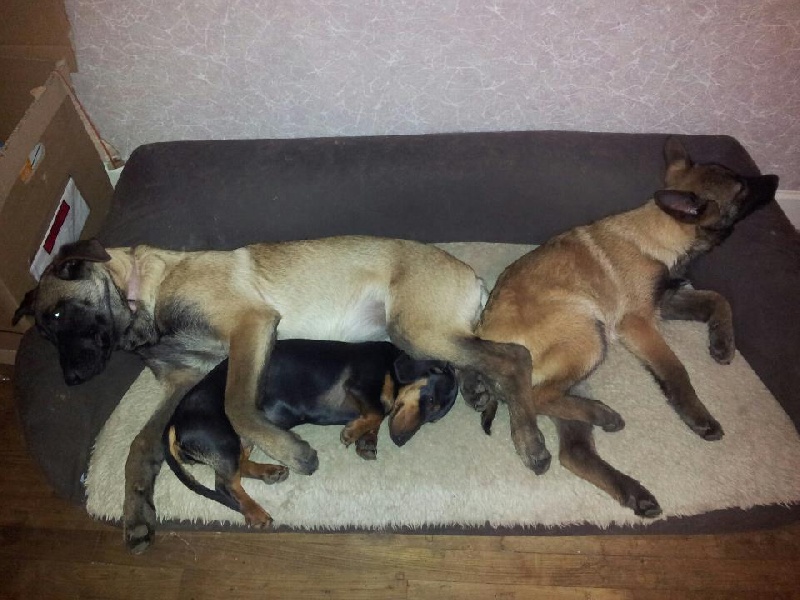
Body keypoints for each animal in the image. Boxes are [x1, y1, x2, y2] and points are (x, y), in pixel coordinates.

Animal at [164, 339, 458, 525]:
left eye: (434, 418)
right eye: (430, 400)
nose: (400, 441)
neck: (392, 364)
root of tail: (175, 421)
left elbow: (378, 414)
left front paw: (367, 441)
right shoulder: (360, 386)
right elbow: (377, 411)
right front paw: (352, 433)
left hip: (242, 438)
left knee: (236, 468)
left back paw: (269, 472)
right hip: (224, 440)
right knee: (224, 484)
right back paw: (256, 512)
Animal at [460, 137, 779, 517]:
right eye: (741, 187)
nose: (775, 179)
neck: (659, 231)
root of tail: (485, 335)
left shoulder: (665, 302)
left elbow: (718, 298)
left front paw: (722, 342)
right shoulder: (637, 323)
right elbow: (675, 369)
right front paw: (697, 415)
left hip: (579, 366)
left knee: (571, 449)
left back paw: (632, 490)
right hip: (588, 338)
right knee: (536, 397)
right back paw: (603, 415)